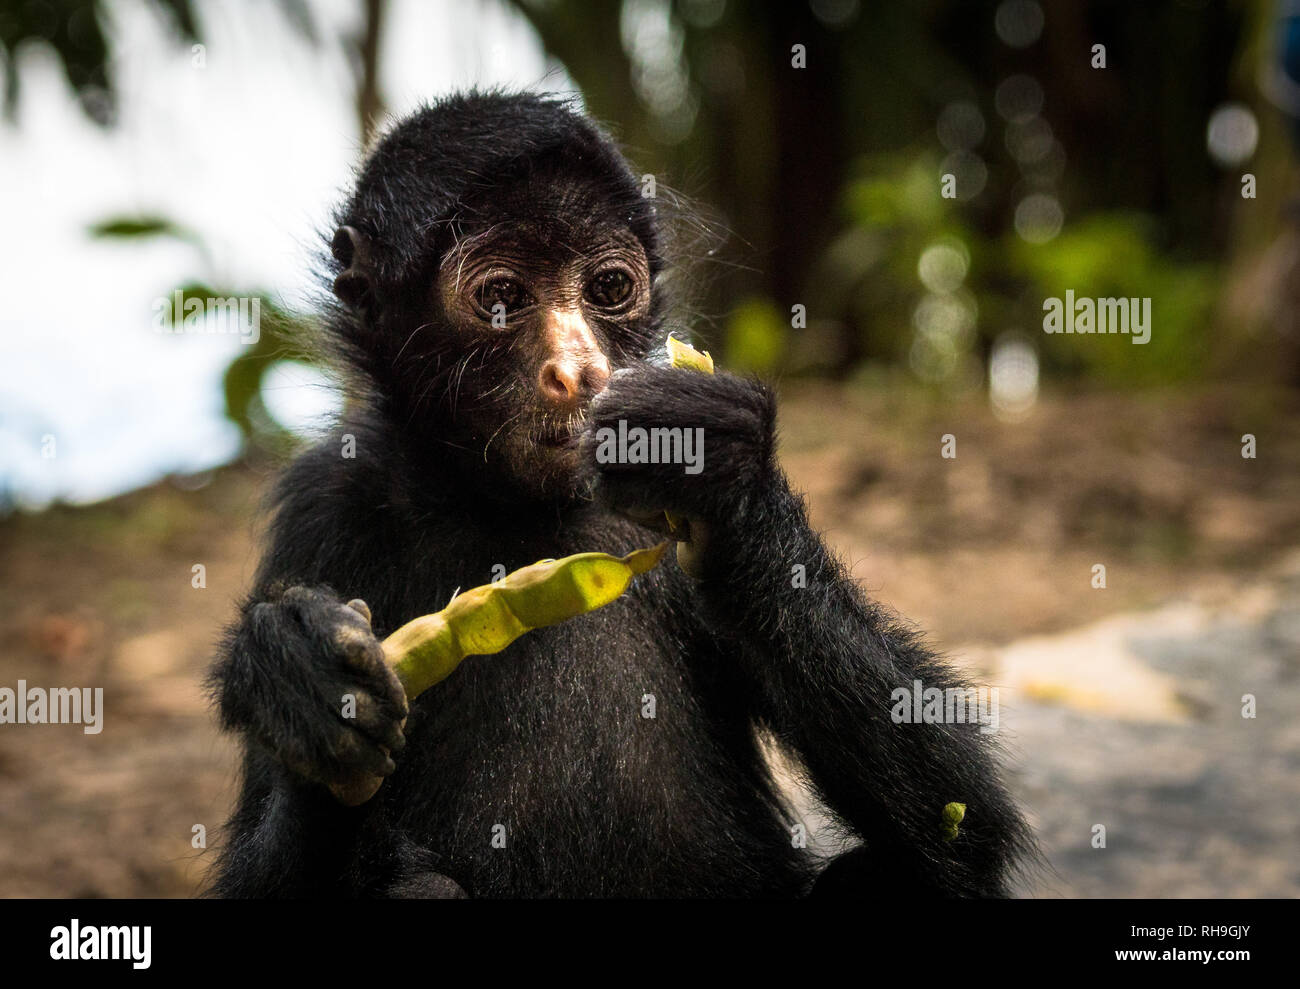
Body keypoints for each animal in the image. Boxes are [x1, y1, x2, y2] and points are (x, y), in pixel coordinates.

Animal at [206, 91, 1035, 898]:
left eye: (608, 287)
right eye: (501, 295)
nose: (578, 370)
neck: (509, 509)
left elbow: (966, 827)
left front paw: (722, 472)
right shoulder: (324, 505)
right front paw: (298, 676)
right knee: (418, 888)